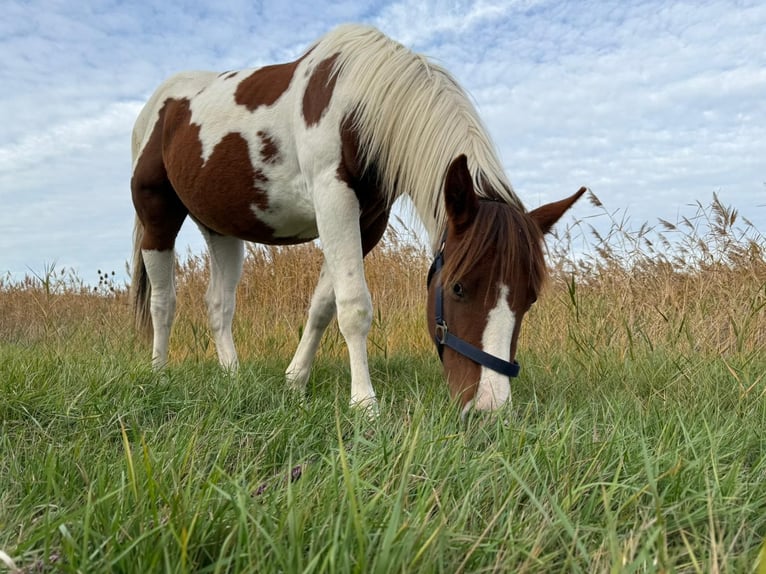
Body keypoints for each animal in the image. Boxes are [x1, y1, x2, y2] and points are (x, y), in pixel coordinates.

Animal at [129, 24, 585, 415]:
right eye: (458, 288)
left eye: (530, 297)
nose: (491, 408)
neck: (355, 103)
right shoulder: (335, 200)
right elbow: (354, 306)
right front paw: (365, 404)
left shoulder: (365, 222)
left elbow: (323, 306)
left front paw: (295, 382)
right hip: (158, 219)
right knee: (164, 302)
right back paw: (159, 375)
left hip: (222, 231)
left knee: (219, 305)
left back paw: (232, 377)